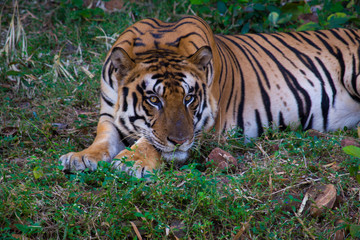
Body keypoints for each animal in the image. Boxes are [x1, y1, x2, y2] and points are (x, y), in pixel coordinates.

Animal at [60, 14, 360, 176]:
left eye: (189, 98)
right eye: (154, 99)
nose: (180, 141)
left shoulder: (207, 124)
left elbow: (150, 141)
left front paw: (131, 162)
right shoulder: (108, 114)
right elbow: (103, 138)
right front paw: (80, 157)